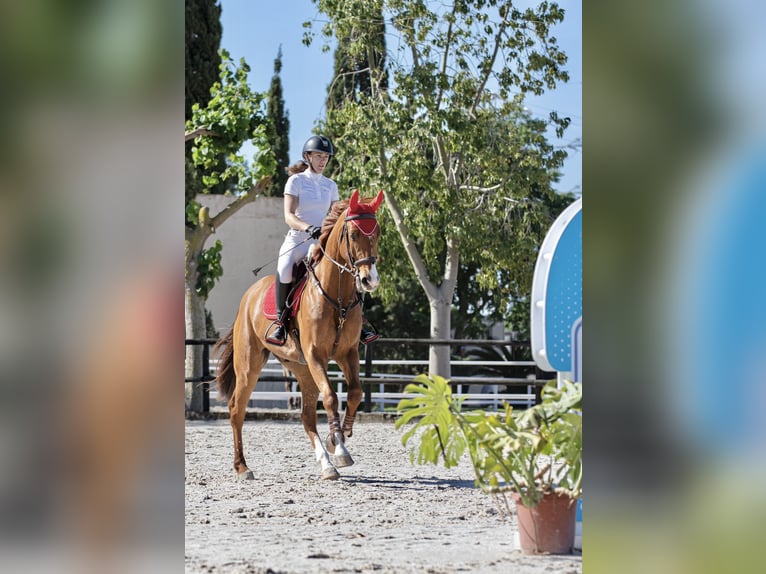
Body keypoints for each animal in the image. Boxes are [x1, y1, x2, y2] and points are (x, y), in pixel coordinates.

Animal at [213, 190, 384, 482]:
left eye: (378, 233)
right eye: (352, 234)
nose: (369, 280)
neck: (336, 296)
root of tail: (249, 294)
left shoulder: (347, 353)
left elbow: (355, 393)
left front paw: (340, 438)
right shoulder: (316, 355)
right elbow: (331, 397)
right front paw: (339, 447)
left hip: (301, 369)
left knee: (306, 417)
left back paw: (326, 464)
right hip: (250, 365)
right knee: (237, 408)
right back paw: (242, 467)